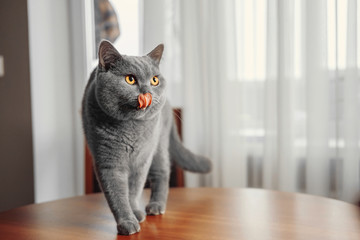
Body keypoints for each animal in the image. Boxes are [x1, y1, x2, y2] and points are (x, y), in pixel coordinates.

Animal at [81, 40, 211, 234]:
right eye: (130, 79)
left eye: (154, 80)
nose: (147, 91)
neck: (130, 129)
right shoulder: (108, 162)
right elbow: (117, 194)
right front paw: (127, 222)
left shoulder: (141, 160)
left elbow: (134, 189)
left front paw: (135, 213)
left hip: (158, 144)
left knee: (162, 172)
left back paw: (156, 206)